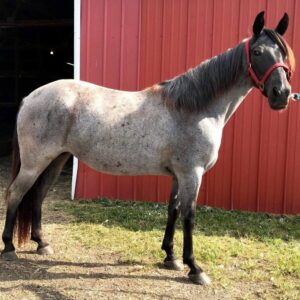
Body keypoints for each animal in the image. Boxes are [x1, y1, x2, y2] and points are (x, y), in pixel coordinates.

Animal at [0, 11, 296, 284]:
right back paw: (9, 247)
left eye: (283, 52)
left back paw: (42, 243)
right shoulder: (192, 174)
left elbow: (173, 210)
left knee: (38, 196)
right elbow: (189, 215)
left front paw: (170, 257)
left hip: (56, 159)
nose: (282, 94)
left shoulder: (179, 175)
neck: (193, 108)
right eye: (257, 52)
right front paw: (194, 268)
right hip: (36, 162)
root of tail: (31, 96)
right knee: (16, 193)